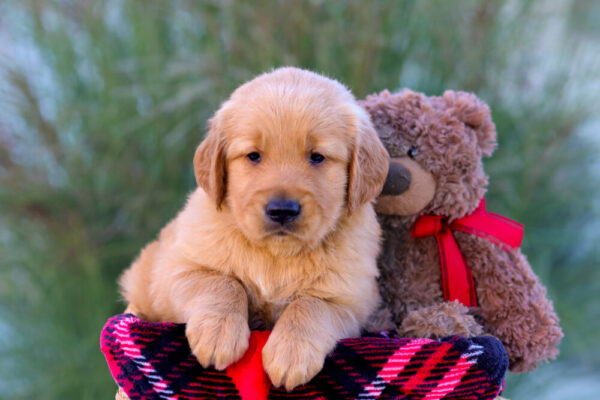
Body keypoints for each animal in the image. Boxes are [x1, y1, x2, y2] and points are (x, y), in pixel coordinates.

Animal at [119, 66, 390, 390]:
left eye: (317, 157)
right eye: (253, 155)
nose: (282, 210)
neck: (276, 255)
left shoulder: (353, 299)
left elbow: (311, 305)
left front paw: (291, 353)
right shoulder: (174, 272)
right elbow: (223, 283)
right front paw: (218, 332)